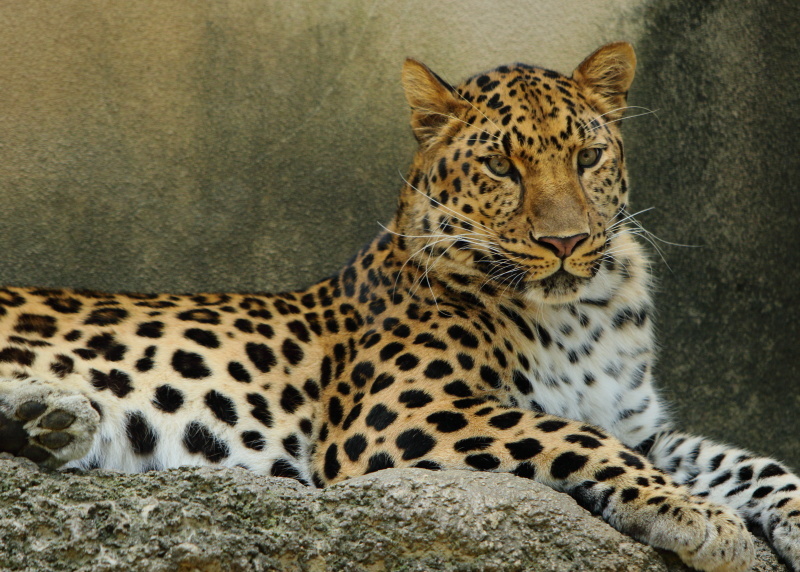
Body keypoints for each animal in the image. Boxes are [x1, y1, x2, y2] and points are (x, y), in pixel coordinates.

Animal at [0, 42, 796, 568]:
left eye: (587, 157)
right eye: (501, 166)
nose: (567, 241)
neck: (583, 312)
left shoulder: (642, 427)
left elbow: (751, 462)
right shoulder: (397, 414)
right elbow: (574, 438)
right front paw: (704, 519)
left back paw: (46, 421)